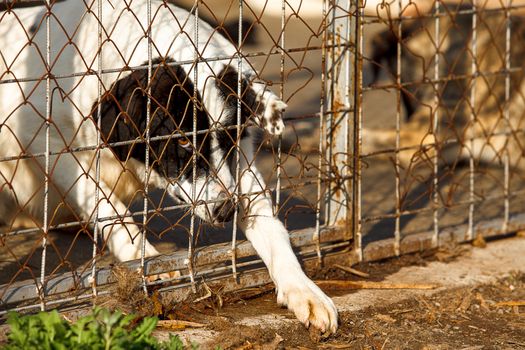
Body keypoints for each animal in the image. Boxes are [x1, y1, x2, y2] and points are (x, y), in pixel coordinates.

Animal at [0, 0, 336, 332]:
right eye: (183, 141)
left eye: (230, 134)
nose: (227, 210)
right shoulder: (43, 138)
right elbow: (107, 207)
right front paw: (142, 257)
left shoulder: (242, 163)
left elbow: (272, 228)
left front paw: (304, 289)